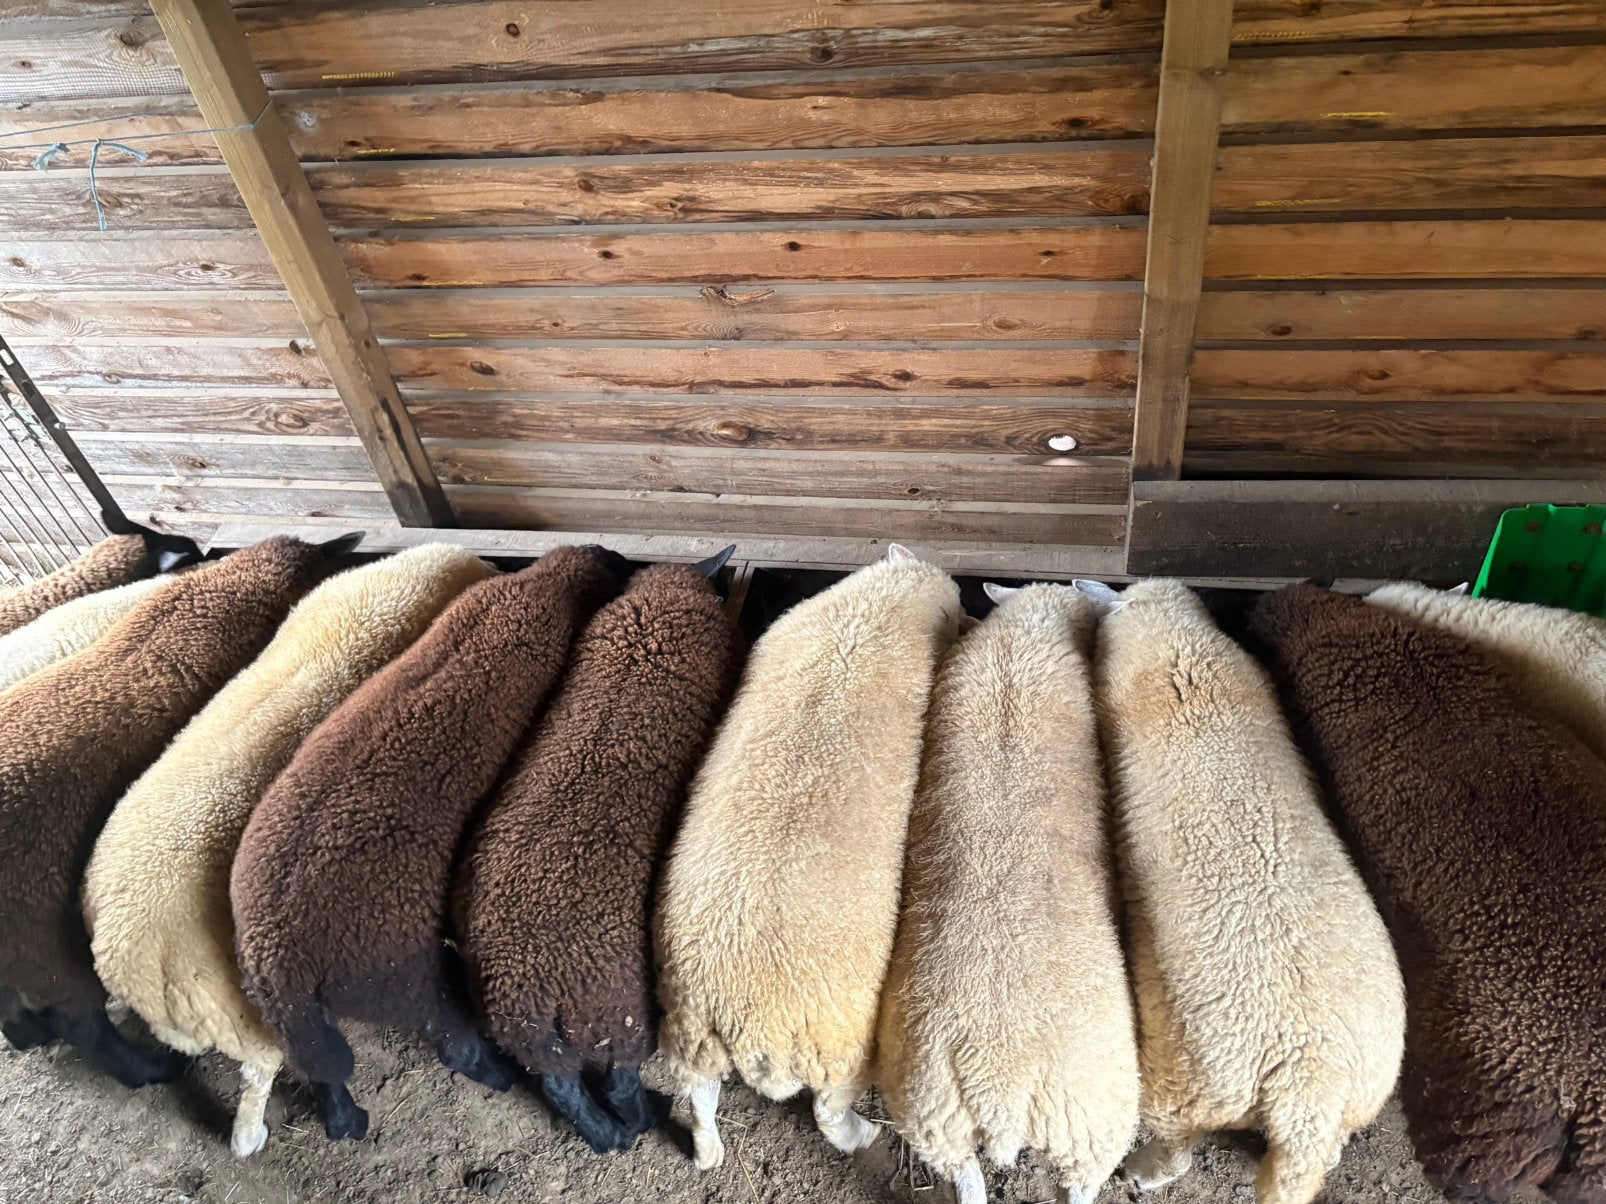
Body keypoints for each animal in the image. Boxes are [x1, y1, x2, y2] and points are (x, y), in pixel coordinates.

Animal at [231, 544, 626, 1143]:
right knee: (453, 1043)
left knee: (321, 1068)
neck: (537, 588)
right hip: (406, 976)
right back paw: (510, 1079)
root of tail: (277, 958)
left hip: (293, 1018)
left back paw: (347, 1121)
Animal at [452, 547, 744, 1155]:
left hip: (540, 1044)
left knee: (562, 1088)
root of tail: (528, 989)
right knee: (615, 1078)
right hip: (616, 1016)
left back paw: (606, 1136)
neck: (653, 612)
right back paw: (640, 1120)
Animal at [655, 544, 960, 1170]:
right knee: (825, 1112)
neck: (877, 605)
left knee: (698, 1097)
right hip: (838, 1046)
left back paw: (707, 1152)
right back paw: (861, 1136)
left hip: (690, 1036)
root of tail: (741, 1012)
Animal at [1087, 578, 1405, 1204]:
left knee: (1179, 1148)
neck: (1182, 649)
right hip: (1353, 1101)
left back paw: (1141, 1169)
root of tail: (1310, 1085)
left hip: (1184, 1088)